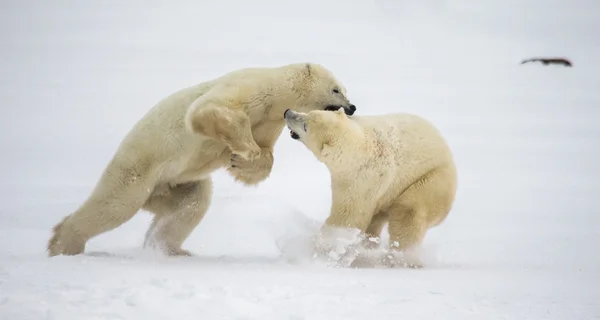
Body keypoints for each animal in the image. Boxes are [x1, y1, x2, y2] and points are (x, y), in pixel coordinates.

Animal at [49, 63, 356, 258]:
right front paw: (245, 150)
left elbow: (264, 155)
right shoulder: (250, 90)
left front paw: (241, 161)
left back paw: (171, 249)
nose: (353, 107)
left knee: (190, 206)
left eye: (344, 89)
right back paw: (64, 244)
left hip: (175, 183)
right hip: (138, 169)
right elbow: (210, 110)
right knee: (114, 205)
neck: (275, 94)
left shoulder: (270, 122)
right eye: (336, 89)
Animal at [284, 108, 458, 268]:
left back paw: (400, 259)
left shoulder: (361, 179)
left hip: (431, 180)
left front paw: (321, 248)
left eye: (305, 126)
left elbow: (347, 216)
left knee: (409, 212)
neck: (360, 146)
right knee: (378, 217)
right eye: (309, 112)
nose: (288, 112)